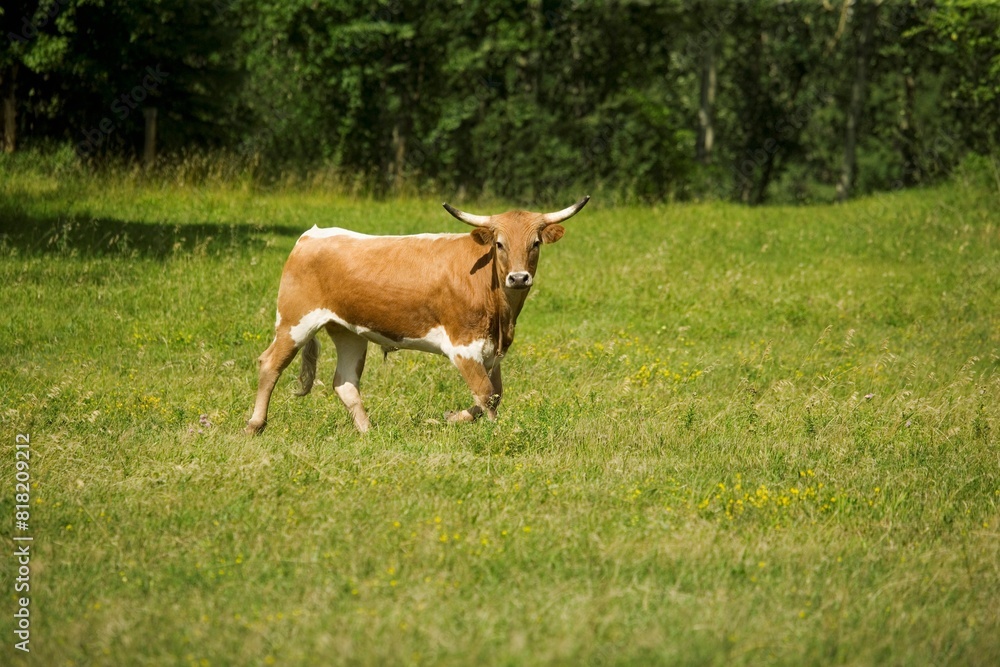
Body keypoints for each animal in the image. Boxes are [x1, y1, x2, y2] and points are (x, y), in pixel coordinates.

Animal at [245, 196, 590, 434]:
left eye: (535, 243)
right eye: (500, 244)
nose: (519, 278)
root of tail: (310, 236)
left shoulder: (492, 352)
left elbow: (494, 395)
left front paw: (452, 418)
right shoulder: (463, 347)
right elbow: (486, 394)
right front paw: (497, 433)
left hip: (348, 331)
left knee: (345, 382)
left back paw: (368, 433)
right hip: (294, 321)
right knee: (270, 364)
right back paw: (255, 425)